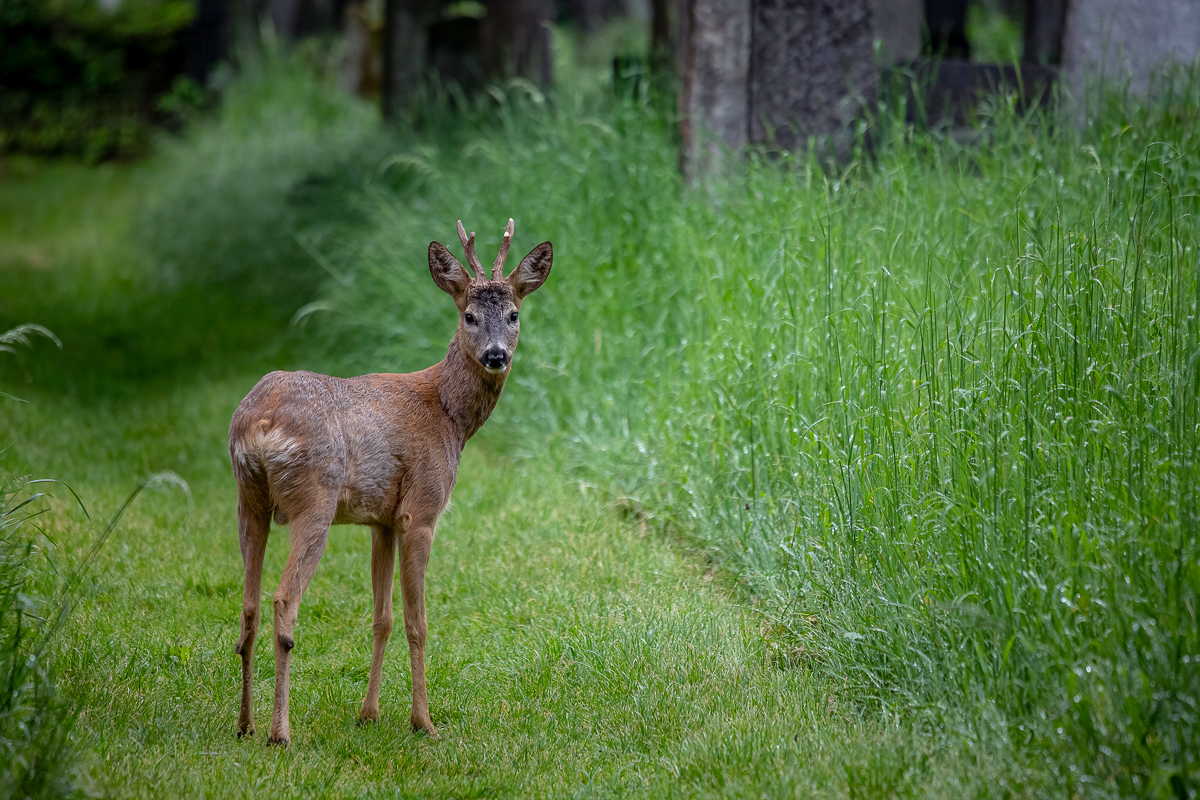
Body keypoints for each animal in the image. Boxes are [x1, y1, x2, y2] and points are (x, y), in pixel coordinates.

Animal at [226, 217, 549, 743]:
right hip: (314, 499)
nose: (497, 355)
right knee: (283, 602)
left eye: (514, 314)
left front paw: (369, 713)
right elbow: (418, 622)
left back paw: (245, 724)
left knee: (249, 605)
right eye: (469, 317)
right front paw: (424, 722)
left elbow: (382, 617)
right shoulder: (421, 510)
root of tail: (260, 423)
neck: (450, 415)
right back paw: (280, 732)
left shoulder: (380, 520)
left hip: (248, 499)